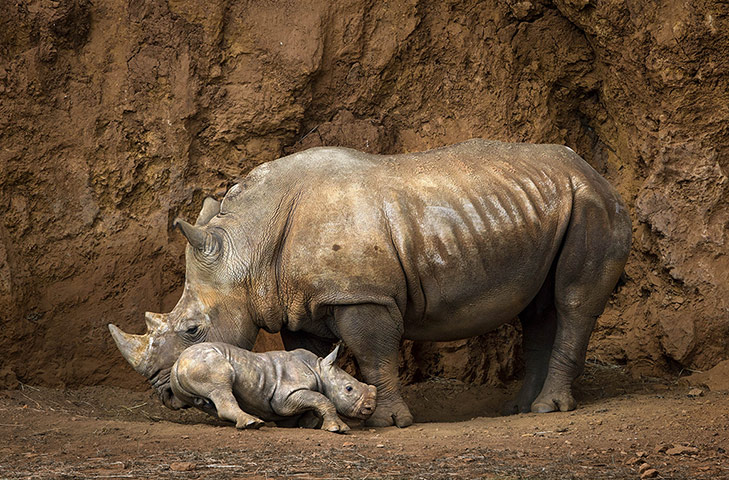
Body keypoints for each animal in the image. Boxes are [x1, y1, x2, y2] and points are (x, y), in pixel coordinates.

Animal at [169, 344, 376, 433]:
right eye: (349, 389)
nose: (370, 408)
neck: (319, 369)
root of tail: (176, 363)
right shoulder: (285, 397)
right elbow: (322, 399)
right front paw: (337, 428)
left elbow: (312, 406)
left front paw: (309, 424)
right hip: (205, 360)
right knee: (221, 387)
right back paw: (252, 423)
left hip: (195, 364)